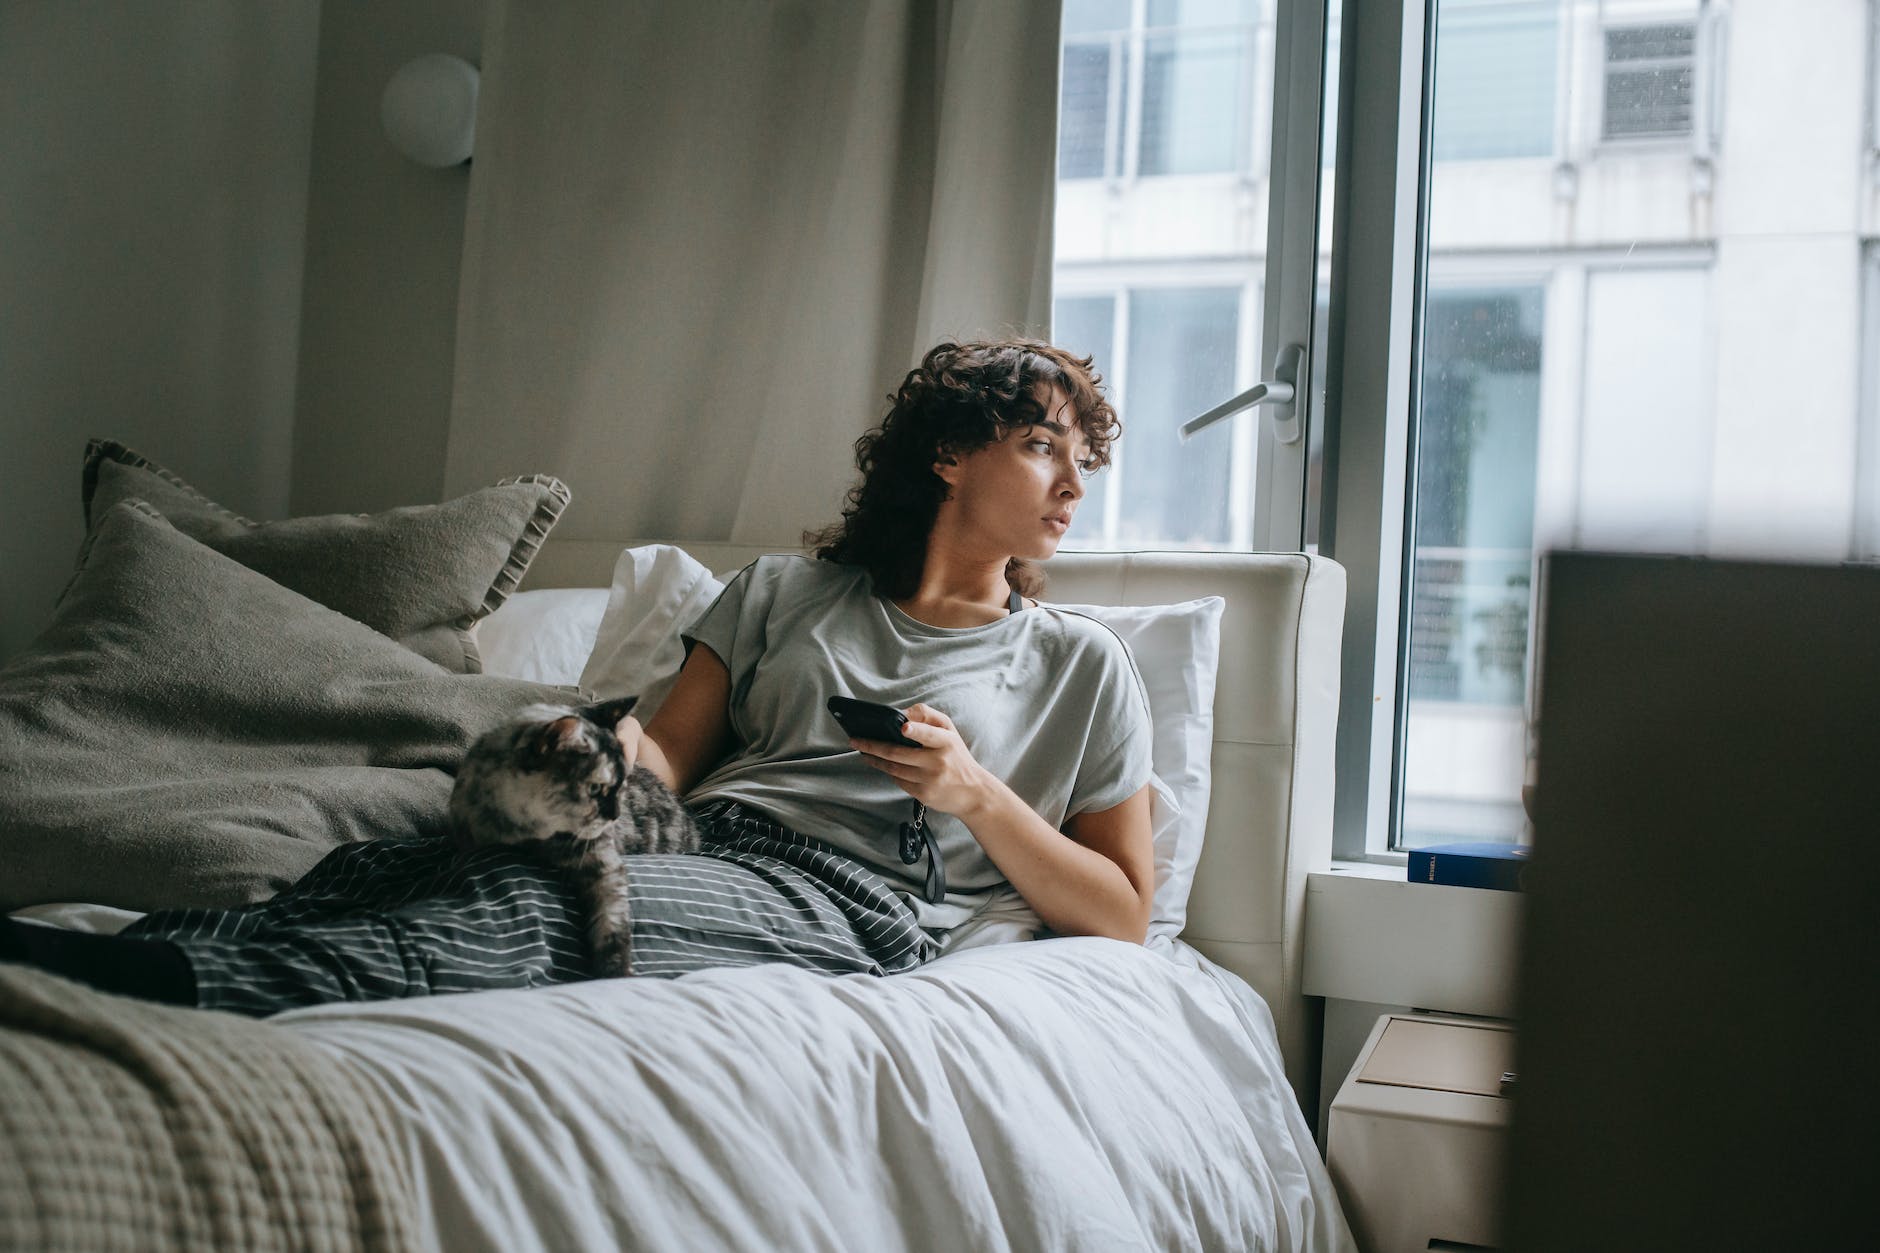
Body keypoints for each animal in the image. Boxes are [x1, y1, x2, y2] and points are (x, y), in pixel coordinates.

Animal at [451, 692, 703, 978]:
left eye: (622, 786)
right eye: (595, 789)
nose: (615, 815)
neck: (529, 835)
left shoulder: (604, 864)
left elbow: (612, 926)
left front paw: (617, 974)